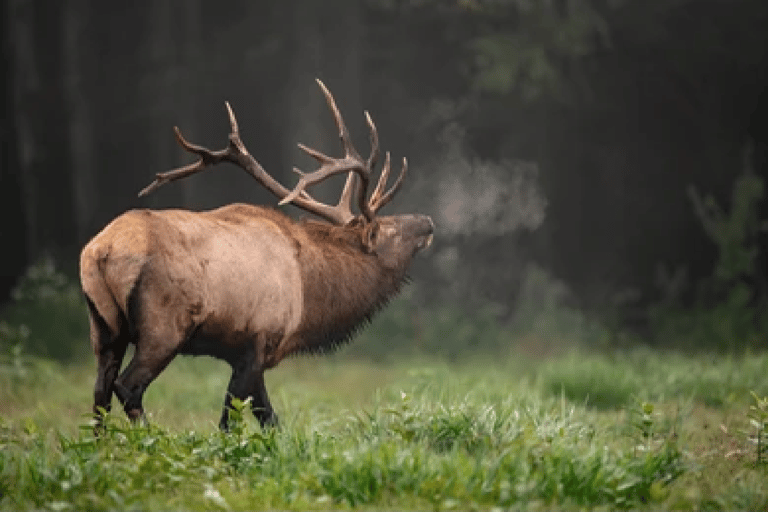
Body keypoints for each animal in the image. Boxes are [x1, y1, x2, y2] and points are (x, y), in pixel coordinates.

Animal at [82, 80, 438, 430]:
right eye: (389, 228)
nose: (428, 222)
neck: (310, 295)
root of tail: (102, 250)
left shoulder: (244, 353)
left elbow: (269, 419)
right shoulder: (259, 340)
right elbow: (232, 420)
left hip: (104, 329)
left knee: (100, 395)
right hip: (164, 326)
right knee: (127, 386)